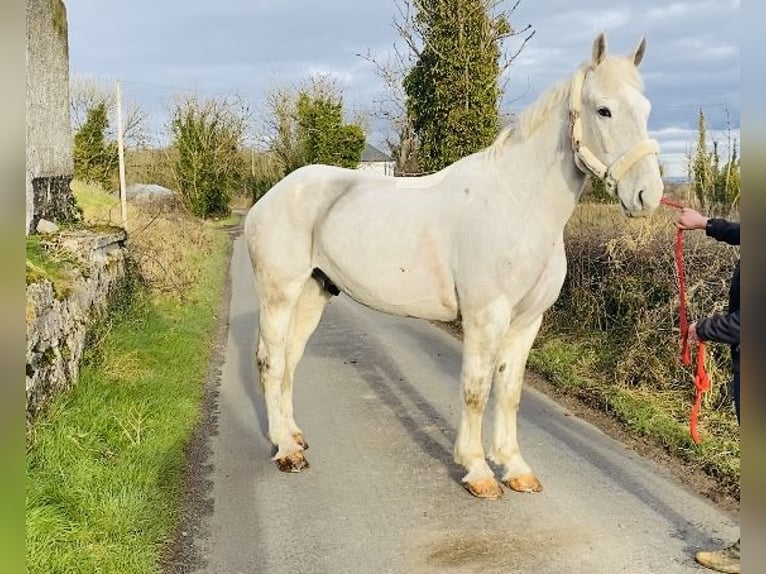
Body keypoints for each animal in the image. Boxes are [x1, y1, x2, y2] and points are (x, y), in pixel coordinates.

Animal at [248, 32, 664, 500]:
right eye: (603, 109)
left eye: (646, 108)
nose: (648, 195)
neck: (517, 204)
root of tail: (270, 197)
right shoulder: (486, 316)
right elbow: (476, 390)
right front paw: (478, 470)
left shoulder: (528, 320)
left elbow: (510, 392)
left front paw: (515, 467)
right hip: (279, 294)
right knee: (271, 361)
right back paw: (285, 450)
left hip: (314, 291)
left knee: (290, 358)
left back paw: (293, 435)